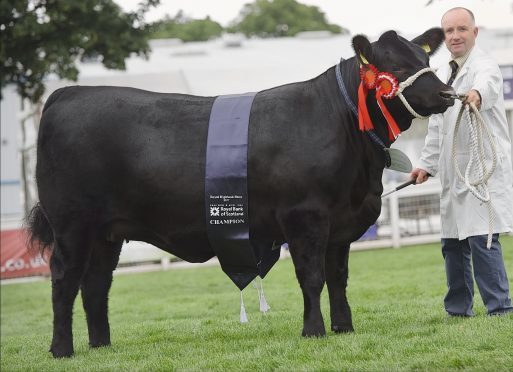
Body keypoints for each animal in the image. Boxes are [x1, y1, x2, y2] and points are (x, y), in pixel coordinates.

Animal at [27, 27, 452, 356]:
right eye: (397, 67)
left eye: (424, 57)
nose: (447, 94)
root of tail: (66, 95)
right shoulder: (306, 217)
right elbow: (312, 276)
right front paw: (313, 331)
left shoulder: (341, 225)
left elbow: (338, 277)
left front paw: (344, 327)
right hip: (72, 224)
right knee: (64, 280)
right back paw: (61, 349)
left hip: (107, 232)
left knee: (96, 283)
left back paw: (101, 344)